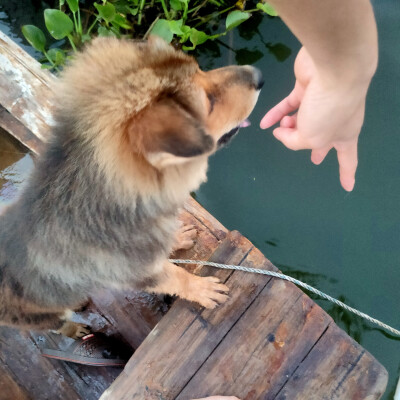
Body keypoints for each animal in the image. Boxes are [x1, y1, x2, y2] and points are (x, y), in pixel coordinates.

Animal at [0, 36, 262, 338]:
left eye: (200, 68)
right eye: (209, 101)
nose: (259, 75)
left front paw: (177, 238)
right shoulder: (136, 273)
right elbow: (175, 277)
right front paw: (201, 289)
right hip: (33, 316)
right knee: (57, 324)